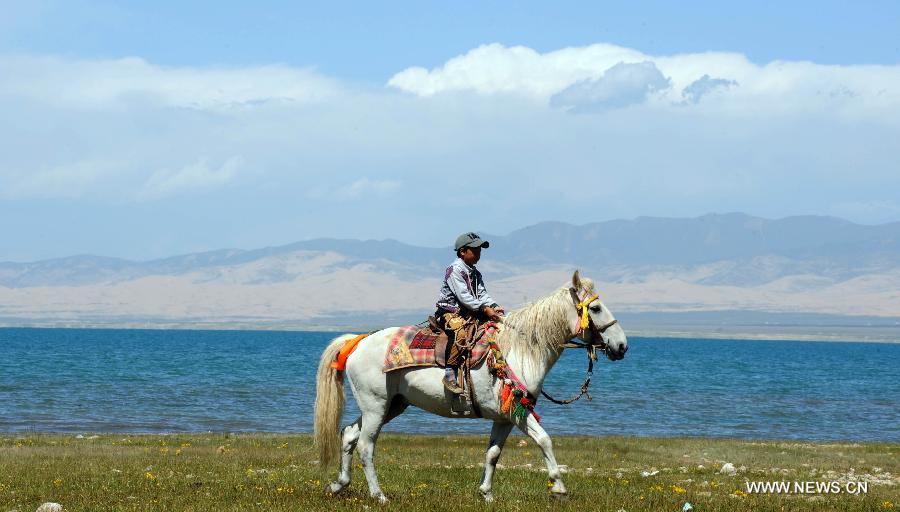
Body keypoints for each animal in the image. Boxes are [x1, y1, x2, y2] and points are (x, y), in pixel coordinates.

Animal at [314, 270, 624, 502]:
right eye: (595, 308)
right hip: (375, 406)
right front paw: (558, 487)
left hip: (392, 405)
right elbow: (544, 439)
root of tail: (358, 341)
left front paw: (486, 493)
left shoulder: (505, 417)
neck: (520, 349)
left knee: (349, 435)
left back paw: (338, 485)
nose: (622, 346)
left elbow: (493, 453)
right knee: (366, 446)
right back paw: (379, 495)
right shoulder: (519, 413)